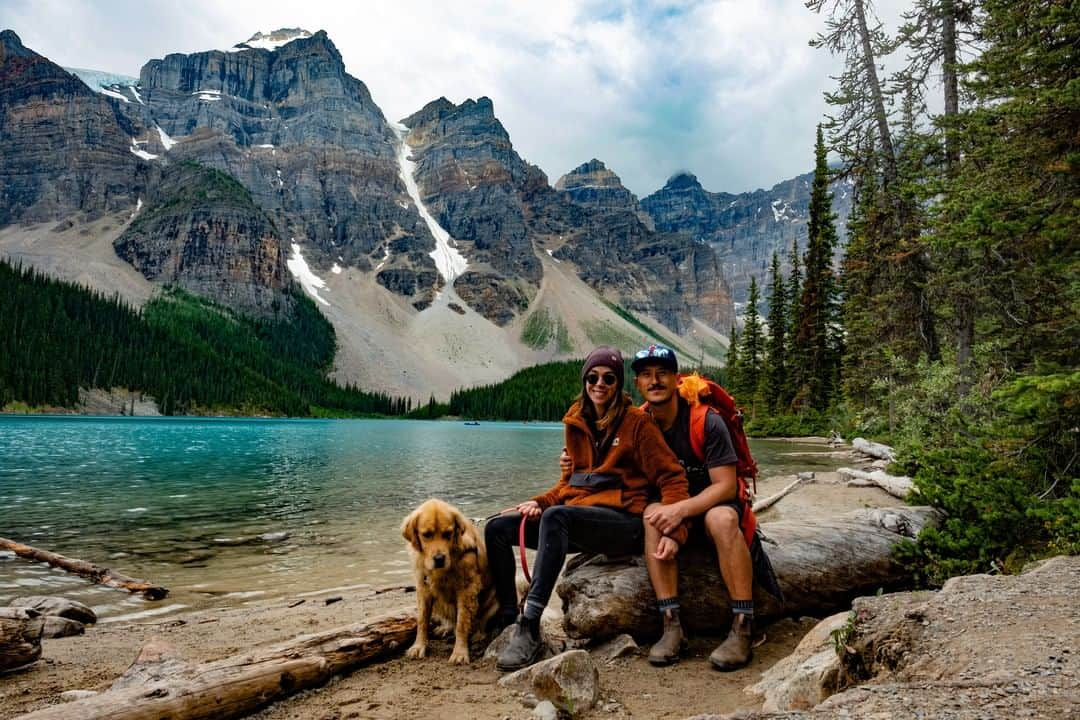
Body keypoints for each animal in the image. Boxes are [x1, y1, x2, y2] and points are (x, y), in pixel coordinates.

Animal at [401, 500, 496, 664]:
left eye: (447, 534)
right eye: (427, 535)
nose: (439, 559)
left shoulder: (467, 589)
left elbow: (462, 623)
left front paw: (460, 652)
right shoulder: (423, 587)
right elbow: (422, 620)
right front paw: (418, 646)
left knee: (481, 622)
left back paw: (478, 635)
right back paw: (445, 628)